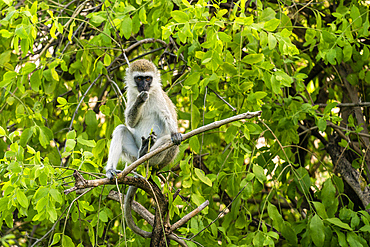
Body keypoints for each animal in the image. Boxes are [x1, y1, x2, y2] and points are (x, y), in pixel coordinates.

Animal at [105, 58, 182, 237]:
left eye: (148, 79)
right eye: (139, 78)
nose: (144, 87)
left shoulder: (159, 97)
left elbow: (167, 117)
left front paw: (175, 133)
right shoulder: (131, 95)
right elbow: (130, 122)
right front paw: (140, 100)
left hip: (159, 161)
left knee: (167, 141)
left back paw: (146, 160)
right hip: (131, 155)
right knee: (120, 129)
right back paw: (117, 168)